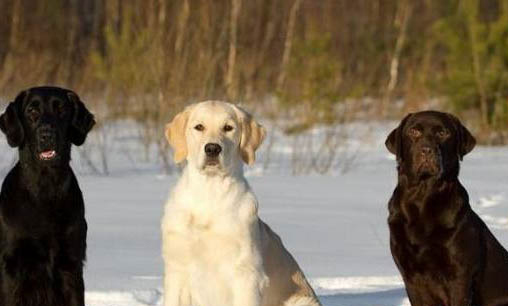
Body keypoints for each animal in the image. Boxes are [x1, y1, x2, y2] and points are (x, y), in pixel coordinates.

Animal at [0, 86, 95, 306]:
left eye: (61, 110)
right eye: (32, 111)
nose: (46, 135)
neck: (45, 189)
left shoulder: (71, 265)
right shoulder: (11, 267)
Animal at [161, 102, 320, 306]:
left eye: (228, 128)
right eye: (199, 127)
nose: (212, 149)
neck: (209, 192)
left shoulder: (246, 274)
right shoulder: (177, 271)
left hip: (301, 300)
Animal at [384, 111, 508, 306]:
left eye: (443, 133)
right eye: (413, 131)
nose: (426, 150)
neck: (422, 199)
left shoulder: (460, 276)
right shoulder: (411, 278)